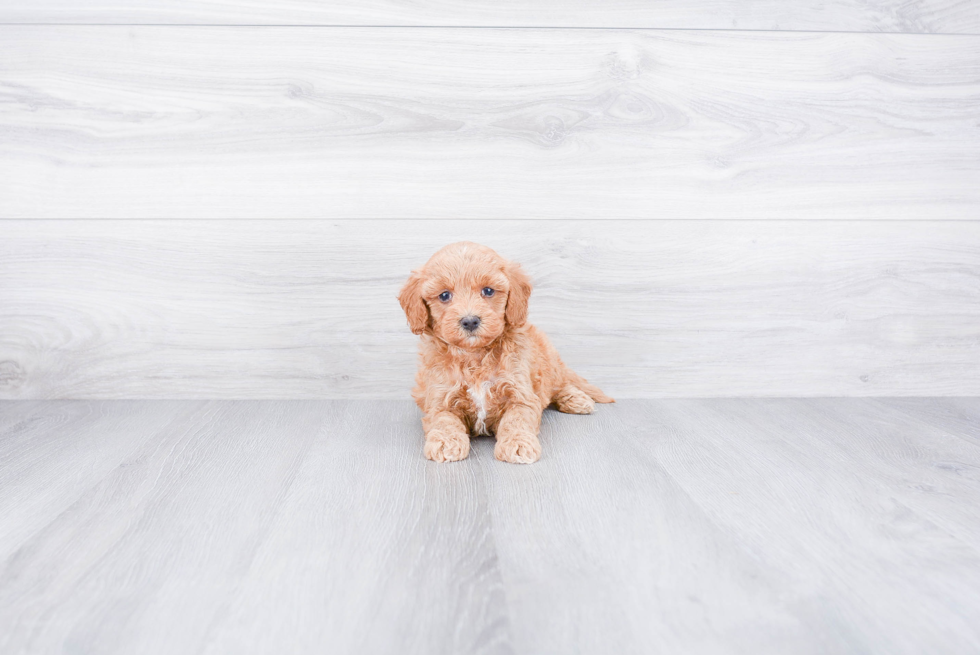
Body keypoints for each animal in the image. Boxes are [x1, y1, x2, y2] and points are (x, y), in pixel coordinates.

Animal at [398, 242, 612, 466]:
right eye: (444, 295)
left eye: (488, 291)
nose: (470, 321)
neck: (475, 355)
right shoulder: (440, 398)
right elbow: (444, 420)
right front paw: (445, 442)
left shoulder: (521, 394)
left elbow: (516, 420)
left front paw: (518, 444)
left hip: (549, 361)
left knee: (559, 383)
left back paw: (576, 399)